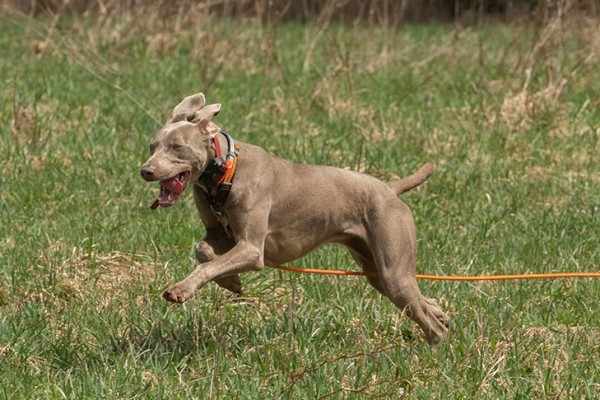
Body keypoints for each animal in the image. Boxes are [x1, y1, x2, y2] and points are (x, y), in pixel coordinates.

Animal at [142, 93, 450, 344]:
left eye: (177, 147)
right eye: (152, 146)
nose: (145, 170)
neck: (225, 170)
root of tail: (389, 187)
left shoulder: (252, 249)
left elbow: (209, 264)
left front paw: (181, 290)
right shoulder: (220, 234)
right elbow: (204, 250)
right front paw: (232, 282)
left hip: (393, 267)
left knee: (429, 323)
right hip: (374, 267)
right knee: (420, 302)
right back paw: (439, 311)